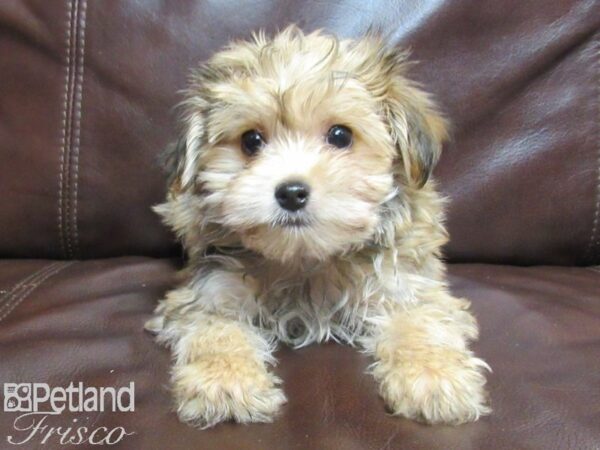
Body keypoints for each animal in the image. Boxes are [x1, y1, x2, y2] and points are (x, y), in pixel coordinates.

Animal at [145, 25, 488, 428]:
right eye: (251, 140)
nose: (291, 193)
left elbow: (421, 321)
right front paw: (225, 382)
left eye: (340, 135)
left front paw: (435, 377)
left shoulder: (406, 282)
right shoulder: (210, 289)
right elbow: (216, 330)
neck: (306, 256)